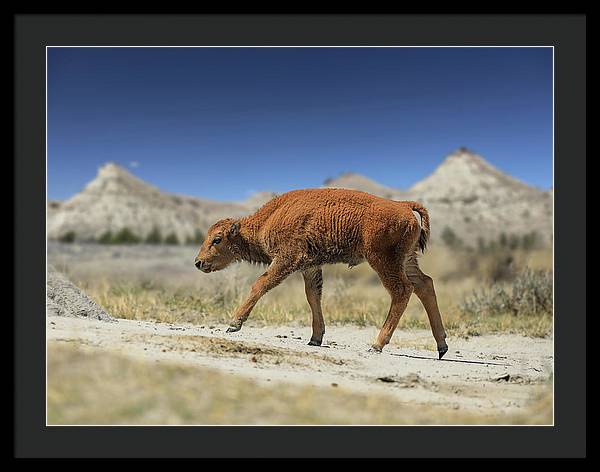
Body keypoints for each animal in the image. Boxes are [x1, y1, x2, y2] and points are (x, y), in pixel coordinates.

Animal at [195, 188, 448, 358]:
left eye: (217, 239)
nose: (198, 262)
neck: (268, 219)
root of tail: (404, 206)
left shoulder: (286, 260)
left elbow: (261, 284)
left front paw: (233, 323)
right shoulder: (310, 267)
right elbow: (313, 297)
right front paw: (315, 339)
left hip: (383, 261)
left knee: (402, 290)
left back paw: (377, 344)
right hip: (407, 260)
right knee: (425, 284)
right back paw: (442, 346)